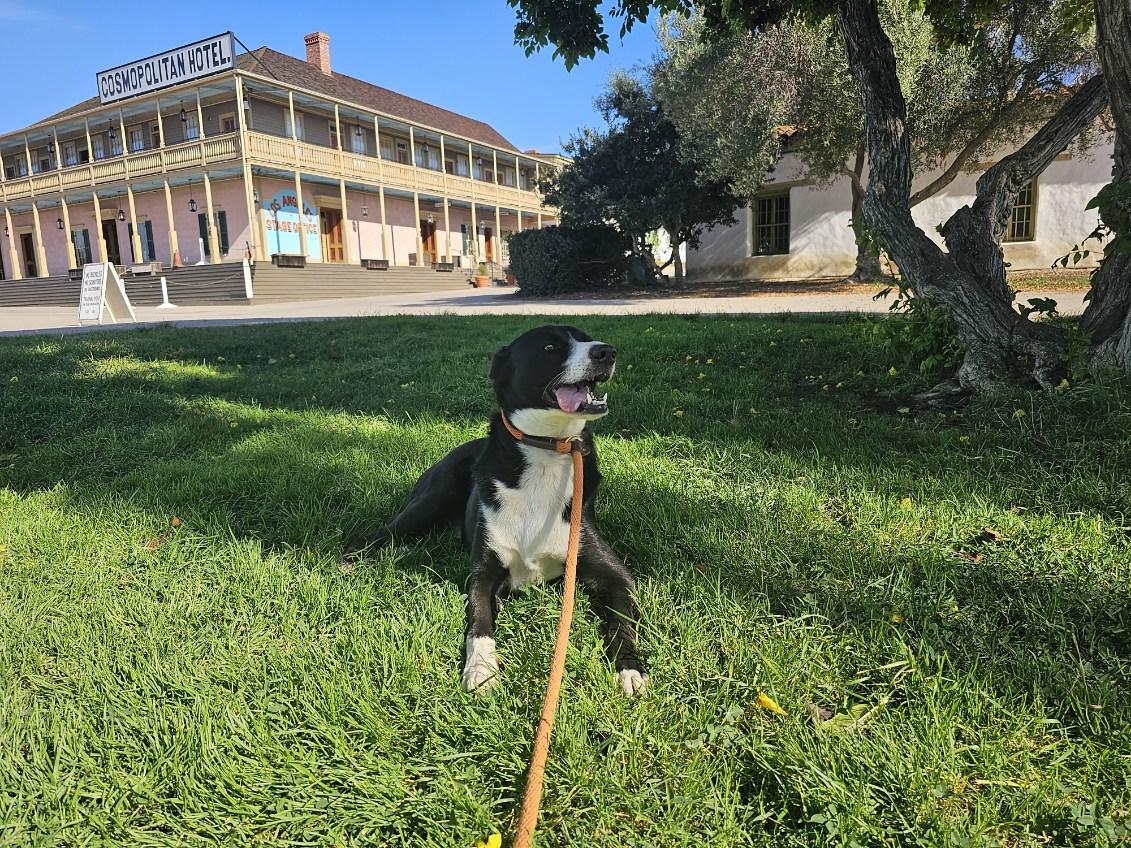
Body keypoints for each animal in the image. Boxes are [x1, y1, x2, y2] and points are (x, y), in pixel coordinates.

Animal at [341, 325, 646, 696]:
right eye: (550, 347)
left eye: (586, 337)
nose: (606, 351)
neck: (546, 451)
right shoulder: (483, 572)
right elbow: (479, 622)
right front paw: (481, 668)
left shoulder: (614, 574)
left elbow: (622, 622)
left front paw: (630, 668)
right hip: (431, 500)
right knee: (377, 534)